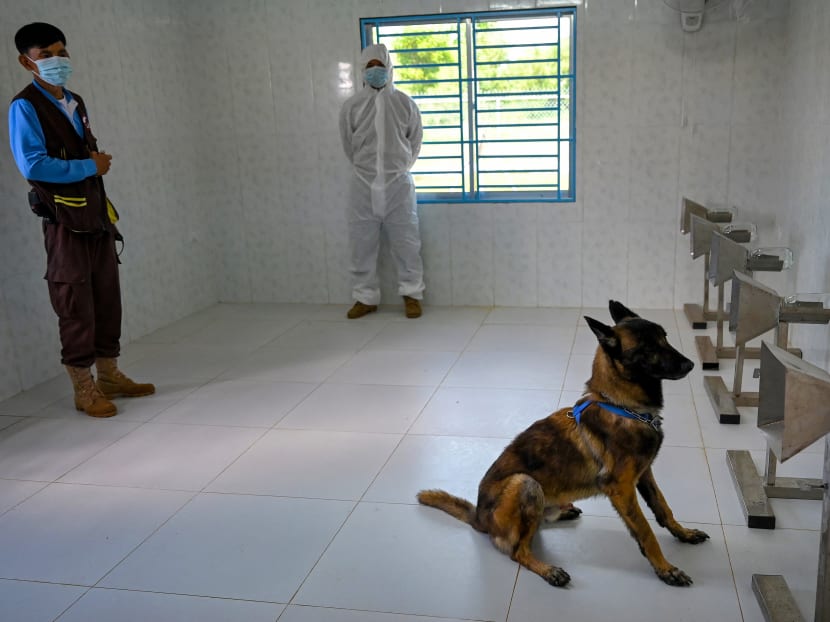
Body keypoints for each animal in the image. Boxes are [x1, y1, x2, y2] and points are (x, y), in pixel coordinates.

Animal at [420, 302, 712, 588]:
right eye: (648, 348)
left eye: (665, 338)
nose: (691, 364)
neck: (623, 406)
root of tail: (479, 517)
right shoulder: (621, 487)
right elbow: (645, 530)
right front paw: (666, 569)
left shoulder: (644, 474)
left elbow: (663, 507)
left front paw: (683, 533)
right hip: (525, 484)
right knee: (518, 550)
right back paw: (548, 570)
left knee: (535, 527)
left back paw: (562, 513)